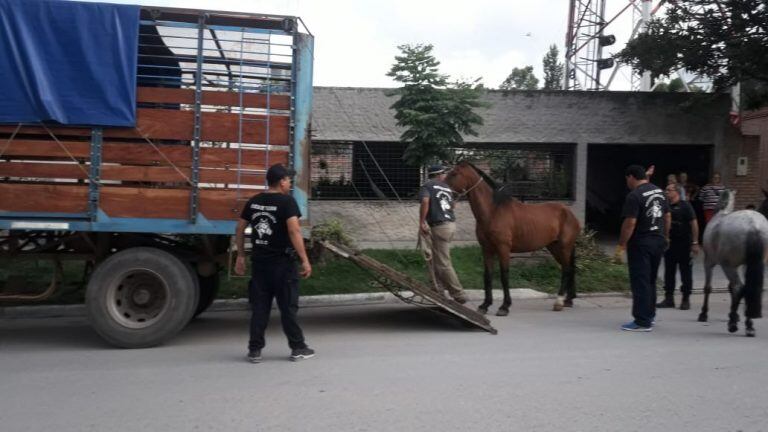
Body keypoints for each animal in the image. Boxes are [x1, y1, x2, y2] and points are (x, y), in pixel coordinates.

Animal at [444, 161, 584, 314]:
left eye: (454, 174)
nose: (442, 190)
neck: (493, 211)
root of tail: (569, 213)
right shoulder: (486, 249)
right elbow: (488, 276)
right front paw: (484, 305)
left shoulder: (503, 248)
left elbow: (504, 275)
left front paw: (504, 307)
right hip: (554, 247)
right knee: (569, 269)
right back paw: (568, 301)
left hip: (564, 247)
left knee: (566, 270)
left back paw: (558, 302)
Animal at [696, 190, 768, 338]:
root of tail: (753, 226)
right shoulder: (742, 266)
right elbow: (731, 288)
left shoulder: (709, 262)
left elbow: (708, 288)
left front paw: (703, 313)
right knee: (747, 289)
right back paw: (748, 326)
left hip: (727, 266)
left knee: (740, 288)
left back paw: (733, 324)